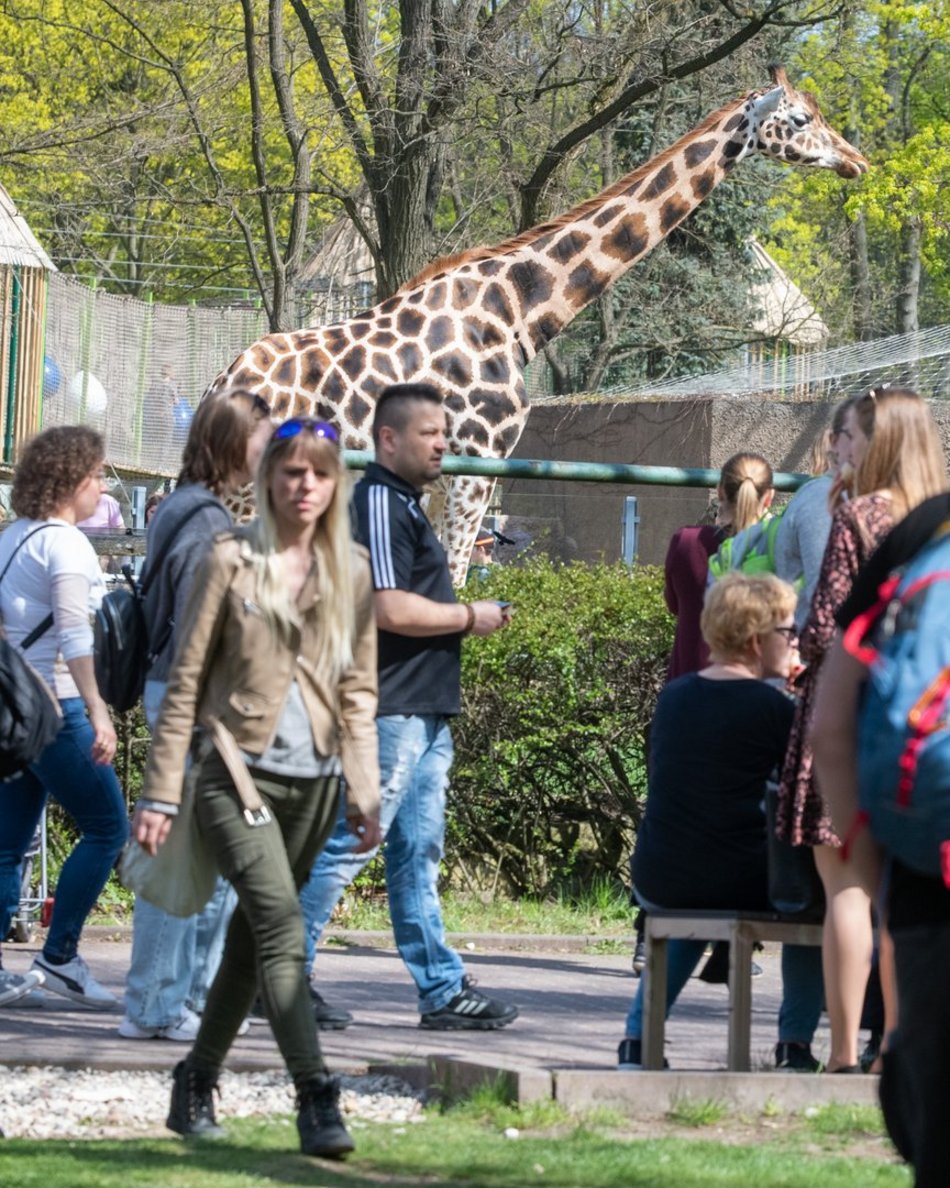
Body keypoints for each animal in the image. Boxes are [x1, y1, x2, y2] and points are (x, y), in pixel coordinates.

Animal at [207, 67, 869, 582]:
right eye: (801, 118)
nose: (856, 161)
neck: (518, 310)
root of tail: (219, 384)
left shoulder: (447, 480)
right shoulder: (473, 467)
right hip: (246, 494)